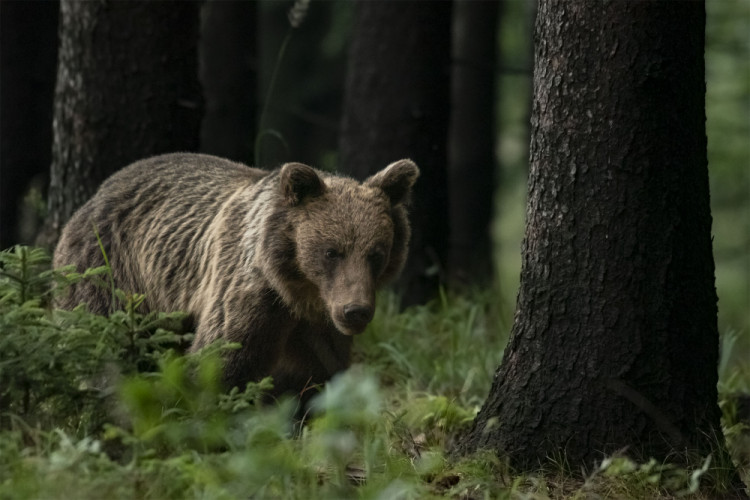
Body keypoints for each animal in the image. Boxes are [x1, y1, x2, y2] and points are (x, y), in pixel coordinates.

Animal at [54, 152, 418, 398]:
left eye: (376, 254)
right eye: (331, 251)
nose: (355, 311)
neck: (296, 291)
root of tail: (95, 195)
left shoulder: (319, 328)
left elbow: (314, 378)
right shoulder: (248, 293)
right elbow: (222, 358)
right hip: (110, 270)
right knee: (100, 336)